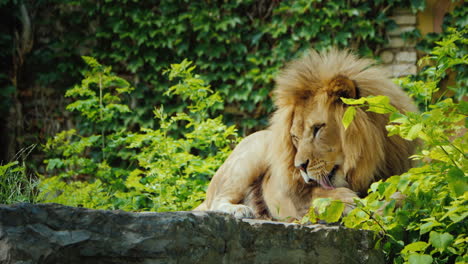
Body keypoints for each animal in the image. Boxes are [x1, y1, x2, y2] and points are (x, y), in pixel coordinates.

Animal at [194, 48, 416, 221]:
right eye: (295, 137)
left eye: (317, 129)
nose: (300, 166)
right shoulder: (289, 194)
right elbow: (322, 195)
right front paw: (350, 203)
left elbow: (402, 196)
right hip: (251, 153)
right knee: (217, 201)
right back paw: (240, 209)